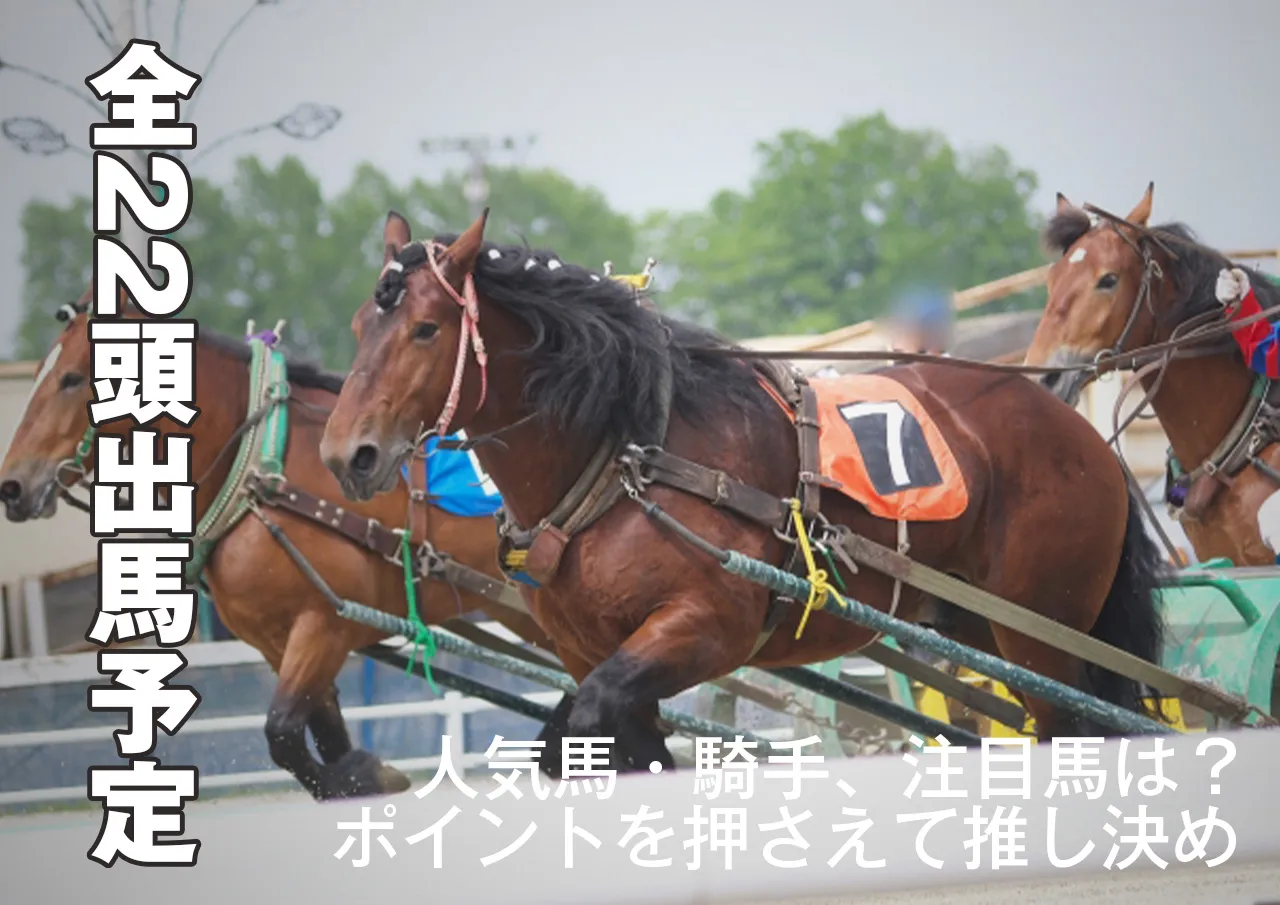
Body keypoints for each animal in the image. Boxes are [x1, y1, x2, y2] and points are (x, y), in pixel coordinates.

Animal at [0, 286, 556, 800]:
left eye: (72, 378)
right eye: (41, 375)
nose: (13, 485)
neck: (258, 471)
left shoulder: (323, 625)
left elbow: (284, 732)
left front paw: (366, 774)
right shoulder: (275, 642)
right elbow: (321, 741)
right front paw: (359, 776)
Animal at [319, 210, 1169, 768]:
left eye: (426, 329)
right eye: (361, 325)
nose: (346, 452)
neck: (628, 455)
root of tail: (1075, 427)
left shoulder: (706, 627)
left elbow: (594, 720)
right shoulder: (592, 652)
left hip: (1043, 630)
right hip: (980, 626)